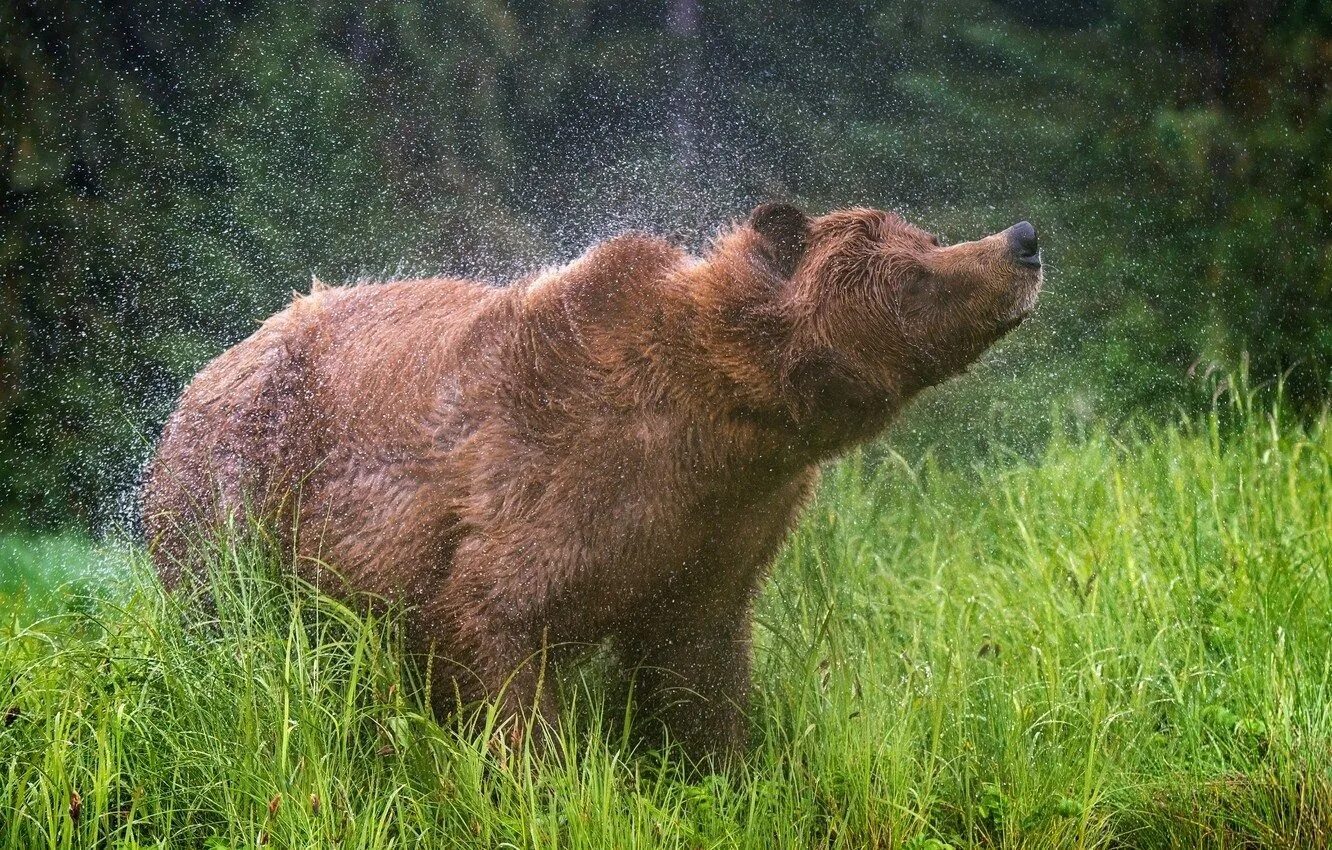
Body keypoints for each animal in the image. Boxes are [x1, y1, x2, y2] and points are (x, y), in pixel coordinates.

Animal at [143, 205, 1038, 756]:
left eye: (926, 235)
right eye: (914, 271)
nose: (1022, 239)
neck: (724, 422)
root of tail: (196, 381)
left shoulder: (716, 531)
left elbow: (698, 664)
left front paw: (719, 766)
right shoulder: (555, 473)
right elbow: (490, 623)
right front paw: (534, 774)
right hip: (235, 495)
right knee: (232, 626)